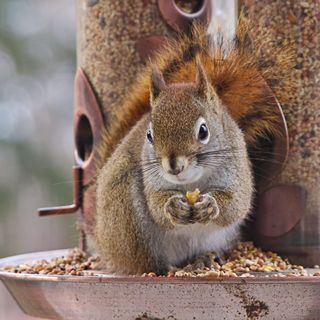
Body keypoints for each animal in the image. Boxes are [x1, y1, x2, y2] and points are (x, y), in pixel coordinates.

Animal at [92, 16, 292, 276]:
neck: (192, 182)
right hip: (127, 219)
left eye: (203, 131)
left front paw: (211, 205)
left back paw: (204, 259)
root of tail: (102, 239)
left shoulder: (236, 171)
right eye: (149, 135)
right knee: (146, 262)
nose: (173, 166)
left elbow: (236, 204)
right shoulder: (152, 181)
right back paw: (168, 267)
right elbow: (156, 205)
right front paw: (171, 207)